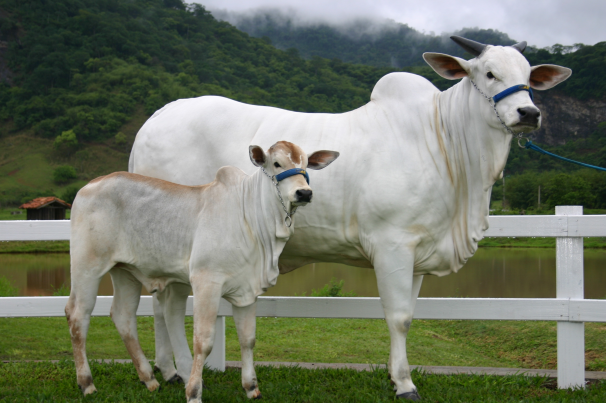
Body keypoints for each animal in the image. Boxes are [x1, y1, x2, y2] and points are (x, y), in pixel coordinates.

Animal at [68, 140, 342, 402]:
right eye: (276, 163)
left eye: (306, 164)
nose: (304, 192)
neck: (252, 219)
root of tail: (89, 185)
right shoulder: (206, 282)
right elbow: (203, 341)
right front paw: (193, 392)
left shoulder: (248, 290)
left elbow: (248, 339)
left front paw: (251, 387)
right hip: (87, 266)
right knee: (78, 316)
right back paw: (87, 383)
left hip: (125, 271)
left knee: (123, 316)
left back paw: (149, 379)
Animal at [129, 37, 576, 400]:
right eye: (488, 73)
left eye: (529, 77)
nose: (528, 112)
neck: (447, 142)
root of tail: (156, 118)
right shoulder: (392, 244)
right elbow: (398, 317)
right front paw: (405, 384)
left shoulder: (418, 251)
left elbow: (409, 314)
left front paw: (396, 377)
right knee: (169, 306)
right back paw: (178, 371)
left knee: (162, 305)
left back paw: (169, 370)